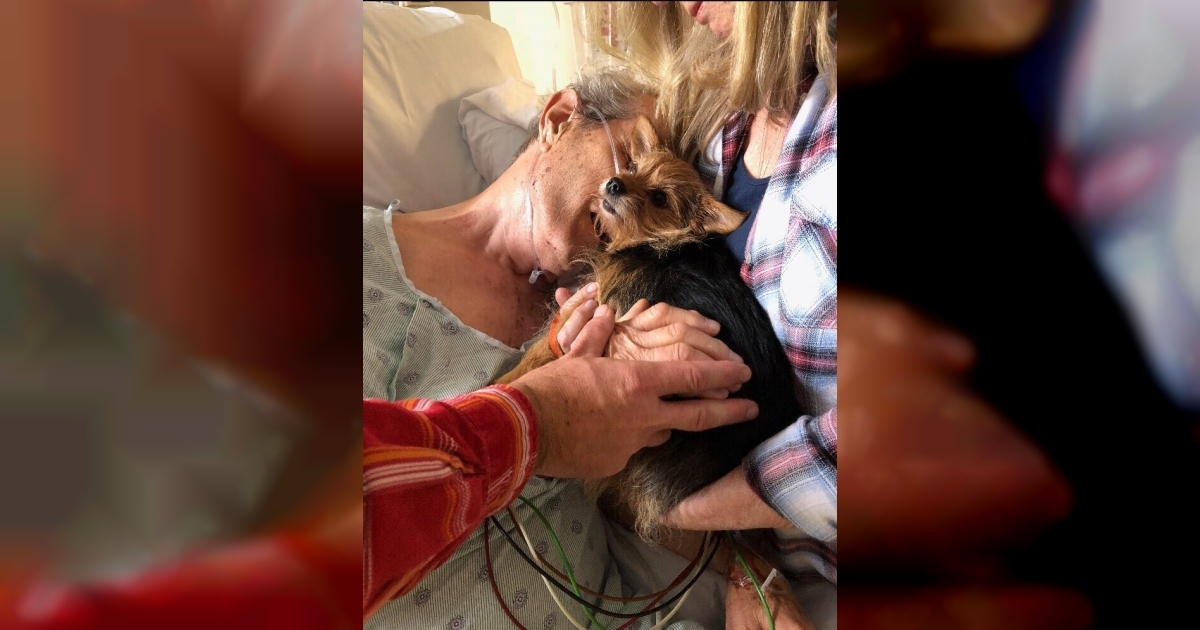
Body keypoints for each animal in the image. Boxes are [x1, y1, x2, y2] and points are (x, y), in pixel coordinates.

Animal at [492, 115, 801, 537]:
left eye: (659, 198)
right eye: (633, 167)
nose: (614, 183)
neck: (655, 243)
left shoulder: (595, 306)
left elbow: (539, 352)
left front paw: (502, 386)